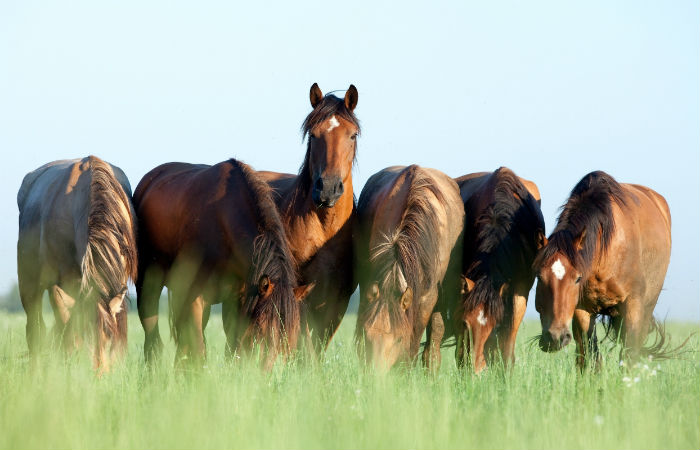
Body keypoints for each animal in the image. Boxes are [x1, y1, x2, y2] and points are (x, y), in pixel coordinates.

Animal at [16, 156, 137, 372]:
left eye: (108, 340)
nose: (98, 376)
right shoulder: (61, 285)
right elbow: (69, 334)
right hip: (29, 284)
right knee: (36, 330)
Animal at [134, 158, 312, 370]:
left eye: (291, 336)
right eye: (261, 329)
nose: (267, 374)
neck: (224, 224)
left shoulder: (238, 300)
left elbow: (232, 348)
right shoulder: (195, 298)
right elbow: (198, 350)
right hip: (148, 286)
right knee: (152, 337)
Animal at [536, 171, 672, 368]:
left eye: (577, 278)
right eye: (539, 277)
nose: (555, 337)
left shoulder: (633, 304)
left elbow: (630, 354)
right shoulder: (582, 310)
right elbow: (589, 356)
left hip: (647, 307)